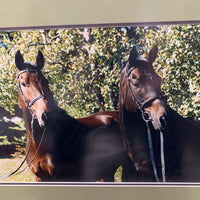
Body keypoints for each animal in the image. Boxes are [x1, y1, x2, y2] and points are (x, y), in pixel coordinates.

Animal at [14, 49, 125, 181]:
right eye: (23, 83)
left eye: (45, 81)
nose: (47, 115)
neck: (41, 143)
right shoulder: (39, 178)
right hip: (107, 172)